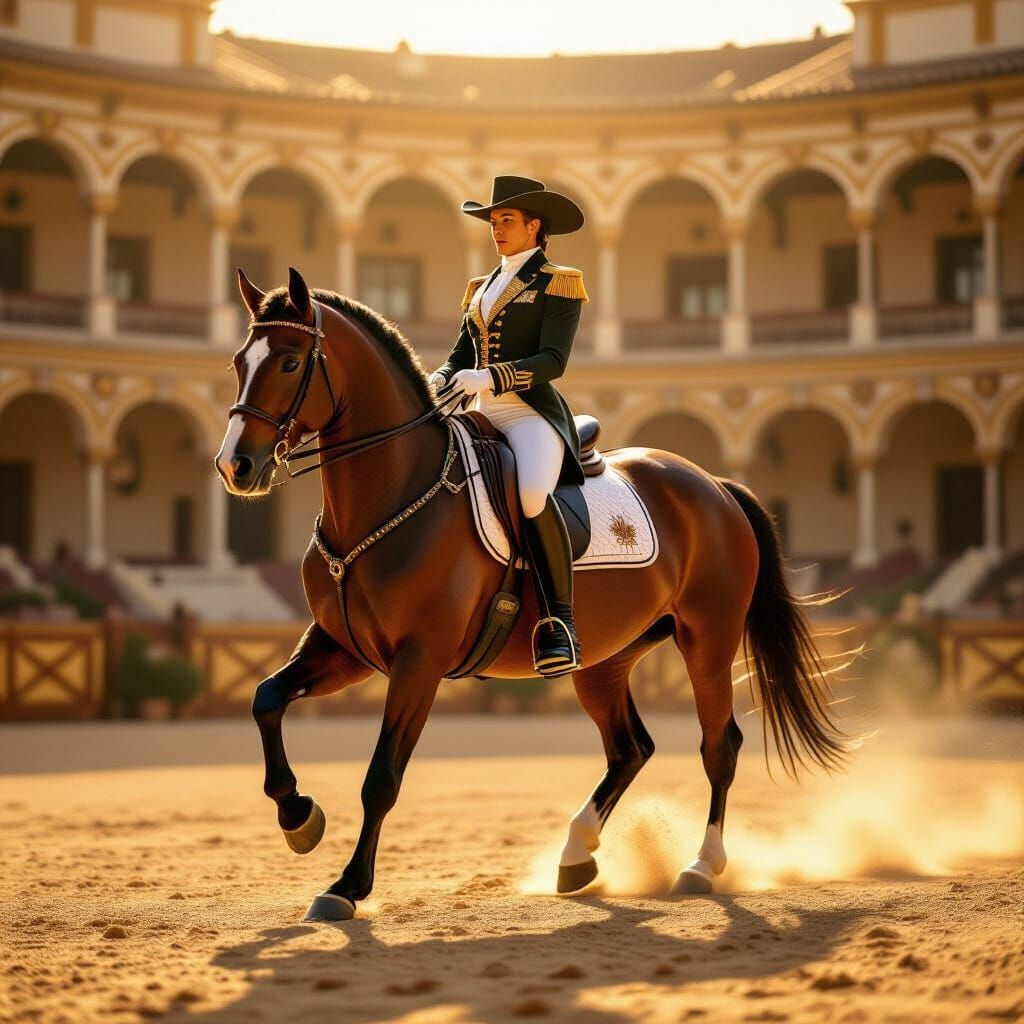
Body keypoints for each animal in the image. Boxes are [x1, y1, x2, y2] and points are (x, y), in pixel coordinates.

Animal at [215, 266, 852, 922]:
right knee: (630, 747)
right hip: (603, 660)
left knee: (718, 744)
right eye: (239, 361)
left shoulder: (418, 662)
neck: (390, 498)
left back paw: (700, 867)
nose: (235, 467)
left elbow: (382, 775)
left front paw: (347, 885)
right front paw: (299, 816)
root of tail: (712, 484)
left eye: (291, 362)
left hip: (709, 638)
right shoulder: (346, 650)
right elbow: (265, 698)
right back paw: (575, 855)